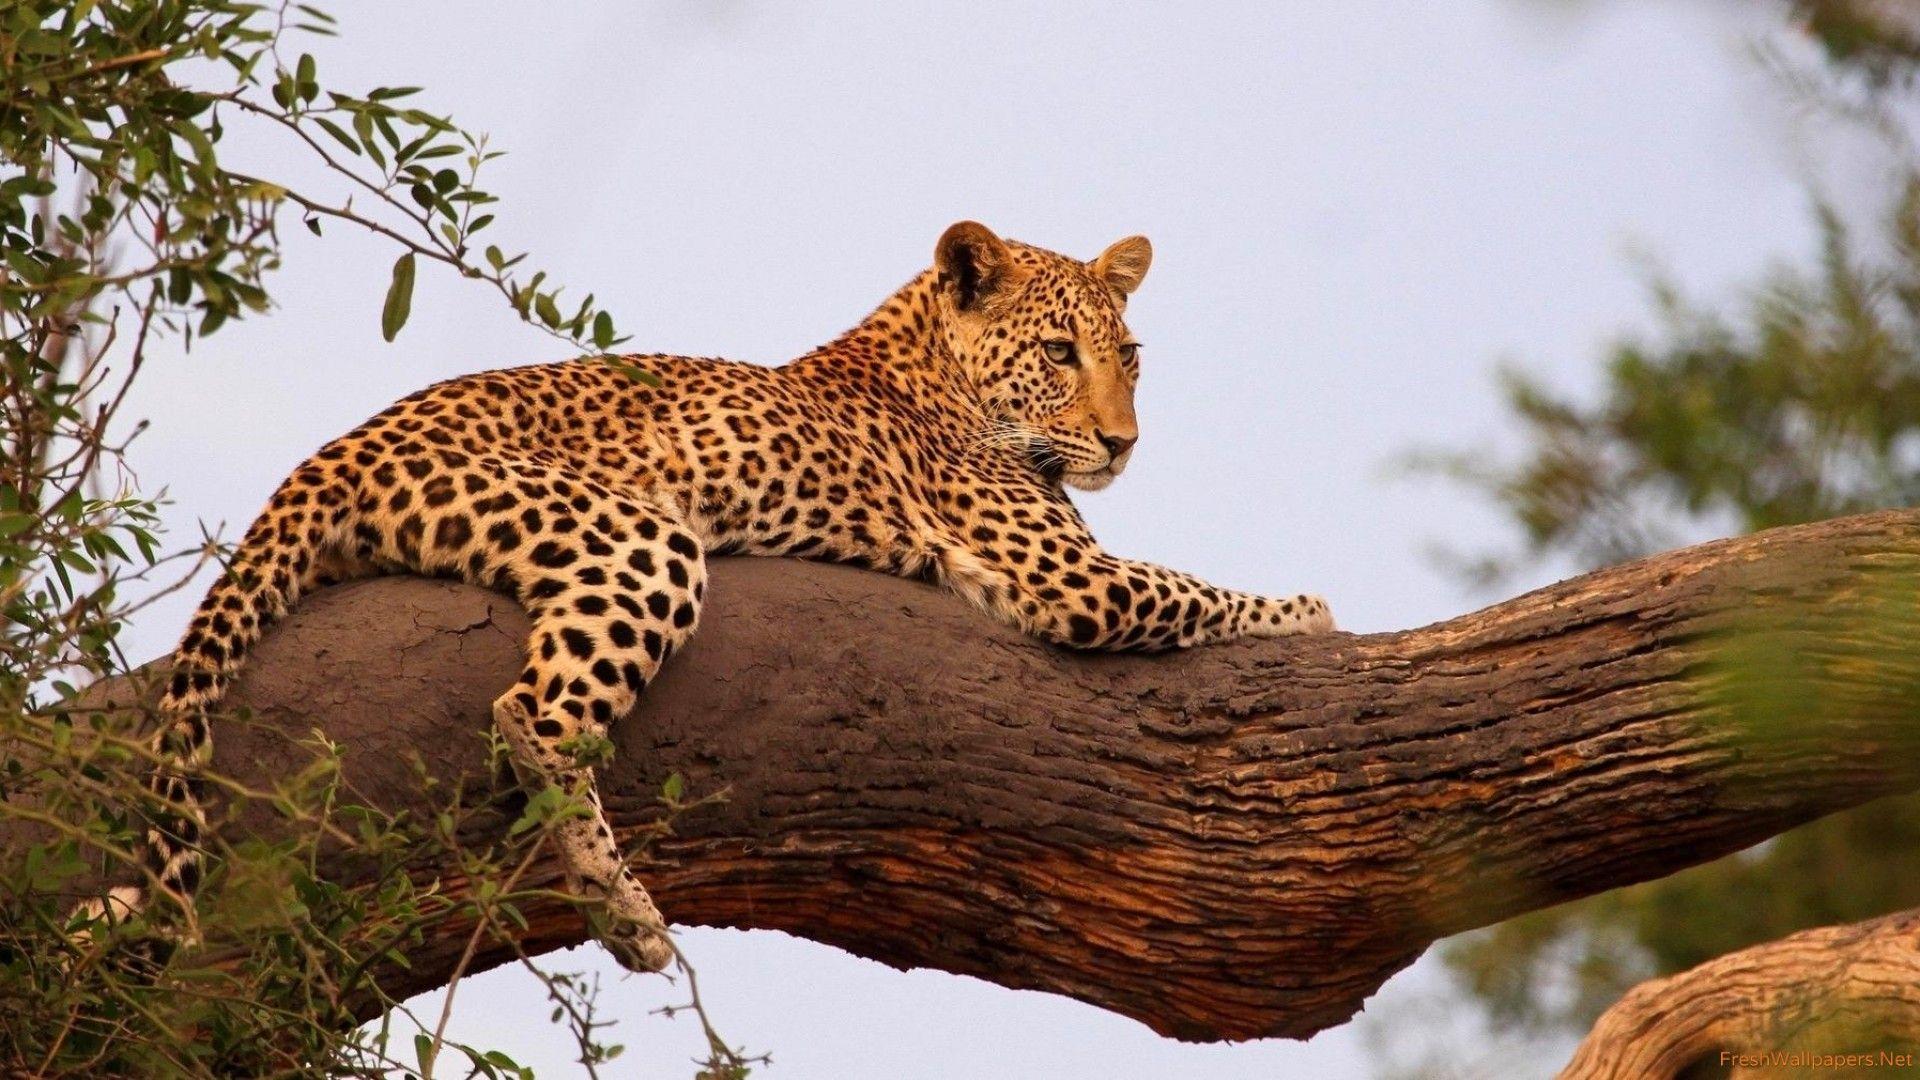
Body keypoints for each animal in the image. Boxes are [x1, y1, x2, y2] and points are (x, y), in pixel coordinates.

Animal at [81, 221, 1336, 972]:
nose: (1124, 444)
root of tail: (330, 452)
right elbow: (1201, 590)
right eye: (1062, 355)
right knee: (530, 718)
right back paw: (629, 919)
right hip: (641, 540)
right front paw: (1319, 613)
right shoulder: (1066, 580)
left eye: (1132, 355)